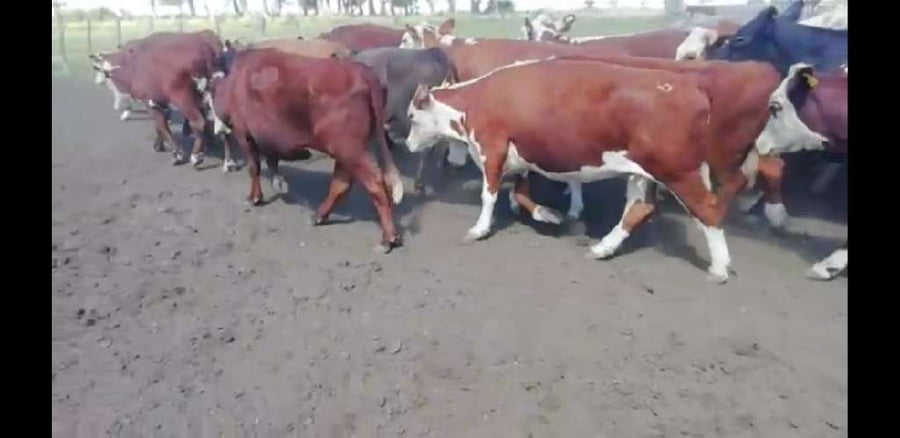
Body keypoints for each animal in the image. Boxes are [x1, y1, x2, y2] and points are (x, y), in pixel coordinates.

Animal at [210, 48, 404, 253]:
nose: (217, 130)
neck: (235, 81)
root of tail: (364, 71)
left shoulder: (244, 133)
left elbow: (253, 167)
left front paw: (255, 197)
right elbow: (271, 160)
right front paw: (279, 183)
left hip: (351, 149)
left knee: (375, 184)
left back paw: (388, 238)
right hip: (346, 151)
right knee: (341, 184)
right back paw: (319, 216)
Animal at [403, 57, 822, 283]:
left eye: (411, 116)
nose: (406, 144)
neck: (476, 101)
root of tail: (690, 88)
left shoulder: (491, 149)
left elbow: (490, 195)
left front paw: (478, 229)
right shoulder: (520, 153)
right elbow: (520, 192)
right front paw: (549, 215)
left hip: (679, 170)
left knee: (708, 210)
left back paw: (720, 266)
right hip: (645, 173)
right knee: (640, 208)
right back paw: (603, 247)